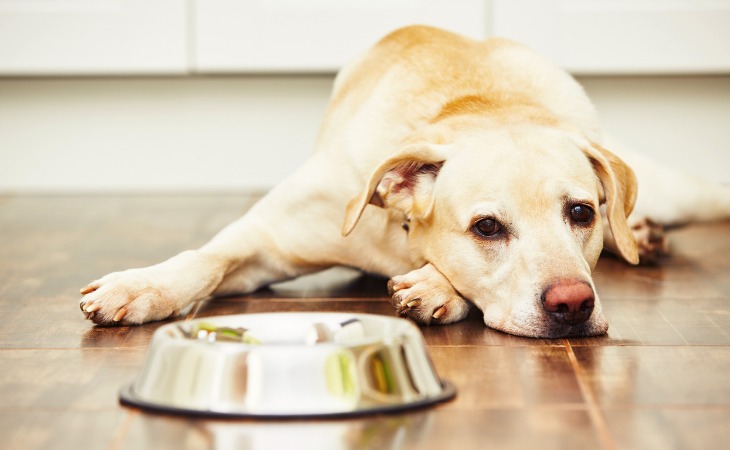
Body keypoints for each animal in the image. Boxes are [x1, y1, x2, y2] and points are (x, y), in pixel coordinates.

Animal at [79, 26, 728, 336]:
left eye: (582, 213)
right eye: (487, 227)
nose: (573, 304)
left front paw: (435, 286)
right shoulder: (267, 238)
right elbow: (205, 258)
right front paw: (141, 286)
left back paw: (642, 234)